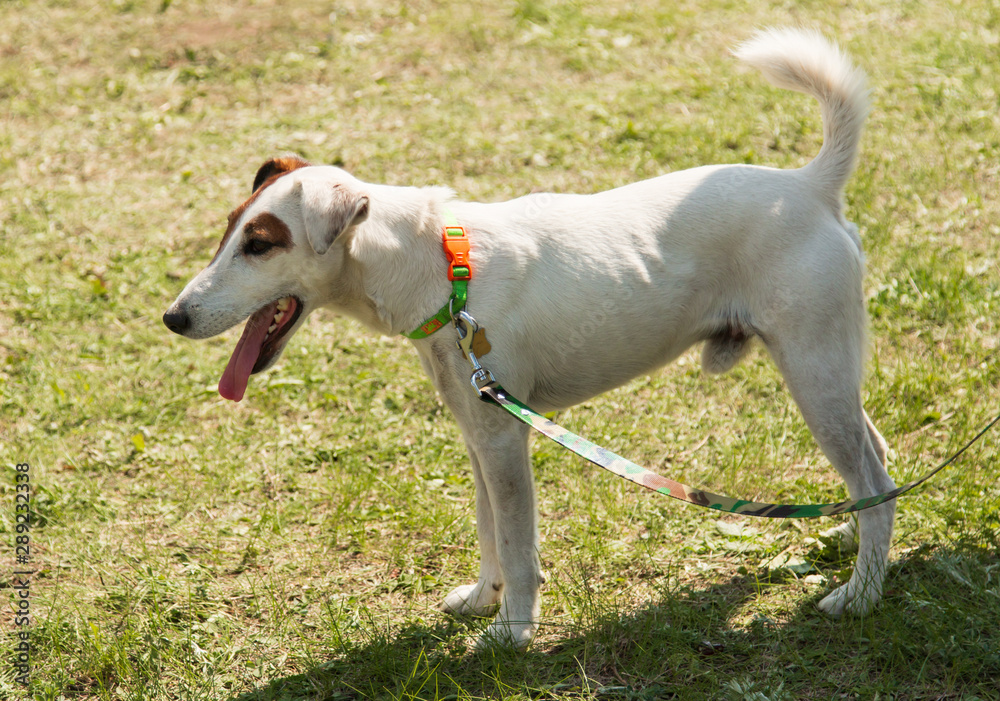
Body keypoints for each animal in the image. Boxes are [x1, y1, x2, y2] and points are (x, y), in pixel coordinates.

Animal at [166, 30, 900, 648]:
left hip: (812, 369)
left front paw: (511, 631)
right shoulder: (477, 430)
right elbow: (489, 528)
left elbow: (518, 546)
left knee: (874, 474)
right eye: (229, 229)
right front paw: (480, 599)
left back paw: (861, 594)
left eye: (261, 244)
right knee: (876, 464)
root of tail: (810, 185)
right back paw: (845, 530)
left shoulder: (503, 437)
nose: (174, 318)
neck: (442, 269)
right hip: (828, 370)